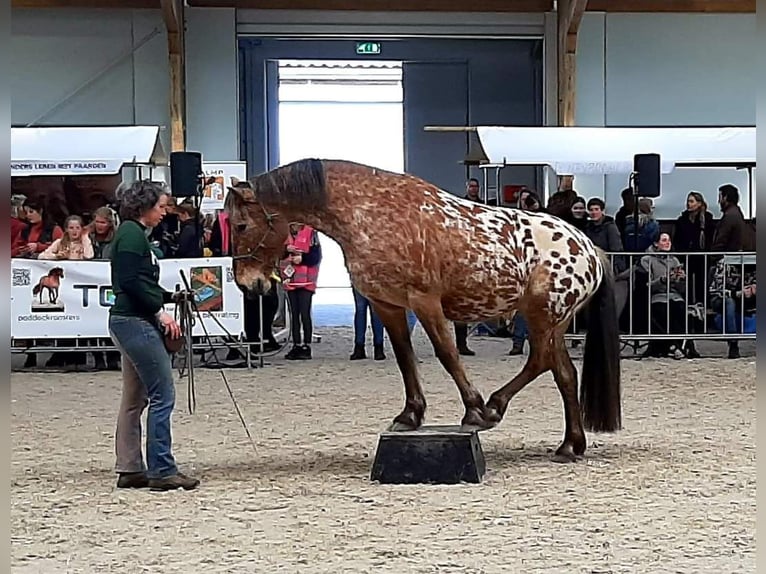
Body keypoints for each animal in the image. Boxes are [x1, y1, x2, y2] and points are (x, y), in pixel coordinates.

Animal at [224, 158, 624, 464]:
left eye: (241, 224)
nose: (248, 284)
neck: (370, 212)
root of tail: (588, 247)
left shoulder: (425, 302)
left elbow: (447, 353)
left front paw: (474, 410)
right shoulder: (387, 305)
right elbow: (404, 357)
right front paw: (410, 415)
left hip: (543, 316)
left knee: (539, 360)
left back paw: (495, 407)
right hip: (553, 321)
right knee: (564, 374)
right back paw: (570, 445)